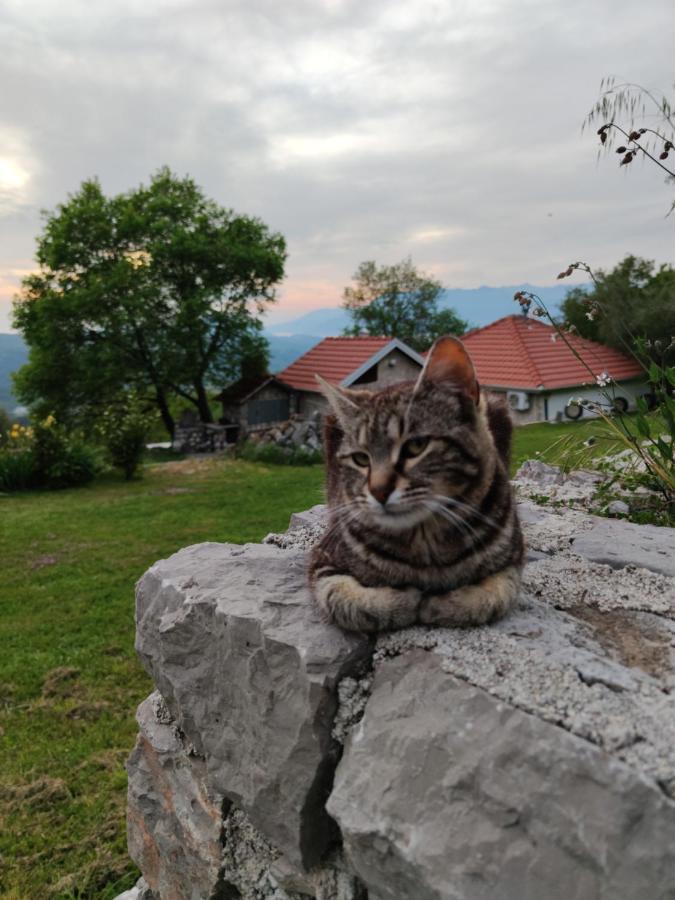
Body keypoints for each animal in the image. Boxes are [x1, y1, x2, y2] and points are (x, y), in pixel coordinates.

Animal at [308, 334, 524, 636]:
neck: (425, 544)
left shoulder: (513, 561)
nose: (378, 491)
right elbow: (346, 600)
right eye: (361, 458)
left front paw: (441, 604)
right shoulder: (324, 559)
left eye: (416, 446)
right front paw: (405, 602)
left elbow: (495, 596)